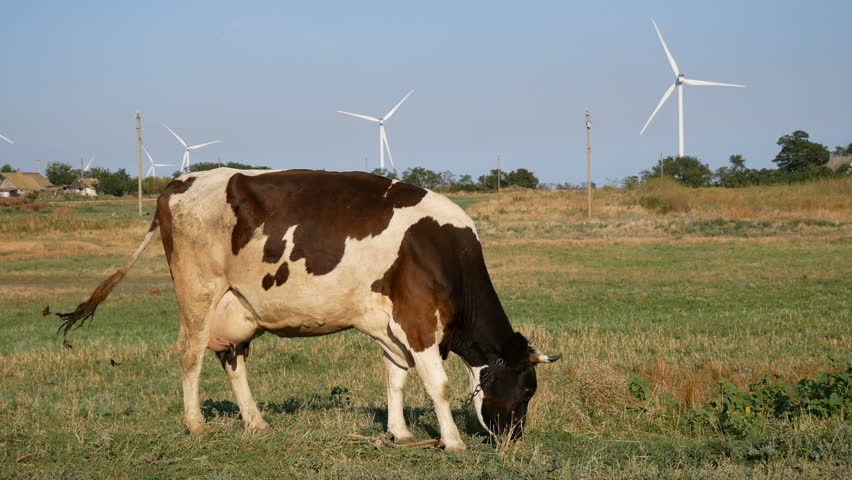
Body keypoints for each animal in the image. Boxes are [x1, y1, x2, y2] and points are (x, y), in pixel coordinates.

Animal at [58, 169, 559, 451]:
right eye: (526, 390)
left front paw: (399, 433)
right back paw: (195, 425)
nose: (513, 441)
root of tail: (179, 183)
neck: (442, 249)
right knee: (190, 352)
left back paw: (256, 423)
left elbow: (396, 378)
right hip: (198, 291)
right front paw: (452, 441)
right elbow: (438, 384)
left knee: (231, 359)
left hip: (236, 307)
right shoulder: (418, 322)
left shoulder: (391, 324)